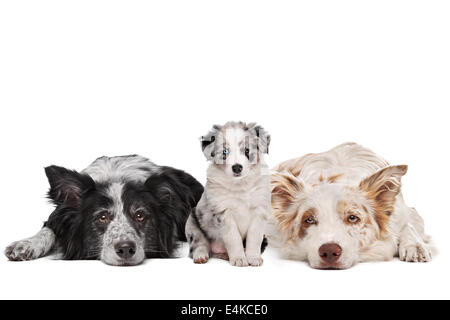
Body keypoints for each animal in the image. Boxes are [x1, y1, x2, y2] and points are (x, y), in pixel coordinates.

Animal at [4, 156, 202, 266]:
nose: (125, 249)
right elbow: (48, 229)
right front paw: (25, 244)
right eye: (102, 217)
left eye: (140, 215)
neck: (116, 176)